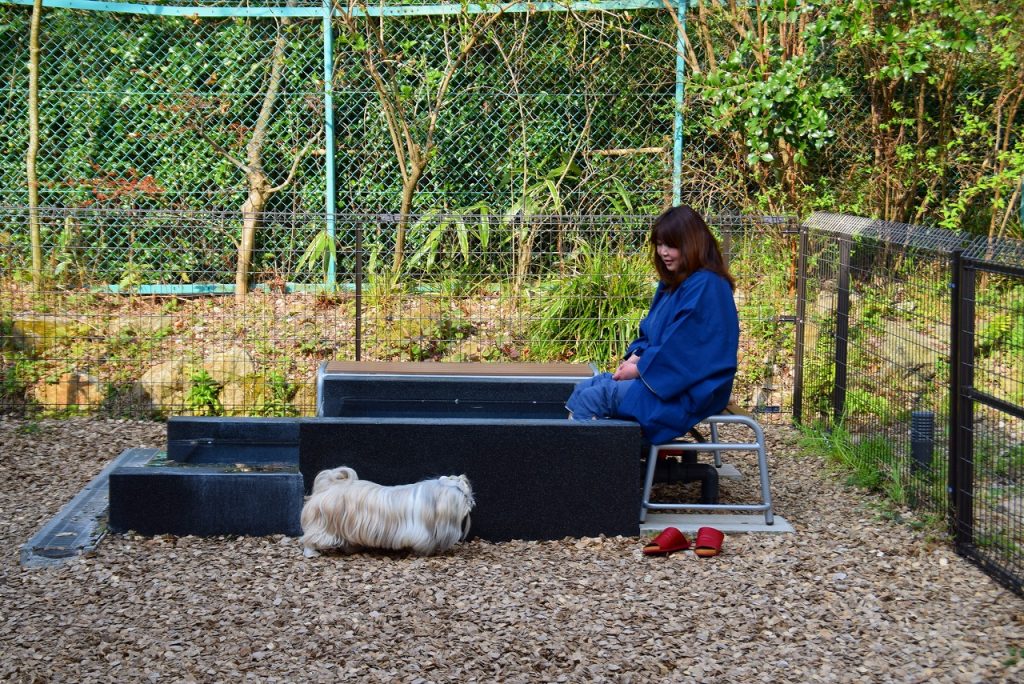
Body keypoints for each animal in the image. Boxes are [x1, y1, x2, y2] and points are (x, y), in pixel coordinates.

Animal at [299, 466, 473, 557]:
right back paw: (311, 553)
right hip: (323, 527)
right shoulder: (421, 533)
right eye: (464, 495)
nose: (471, 502)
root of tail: (327, 487)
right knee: (309, 539)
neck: (432, 498)